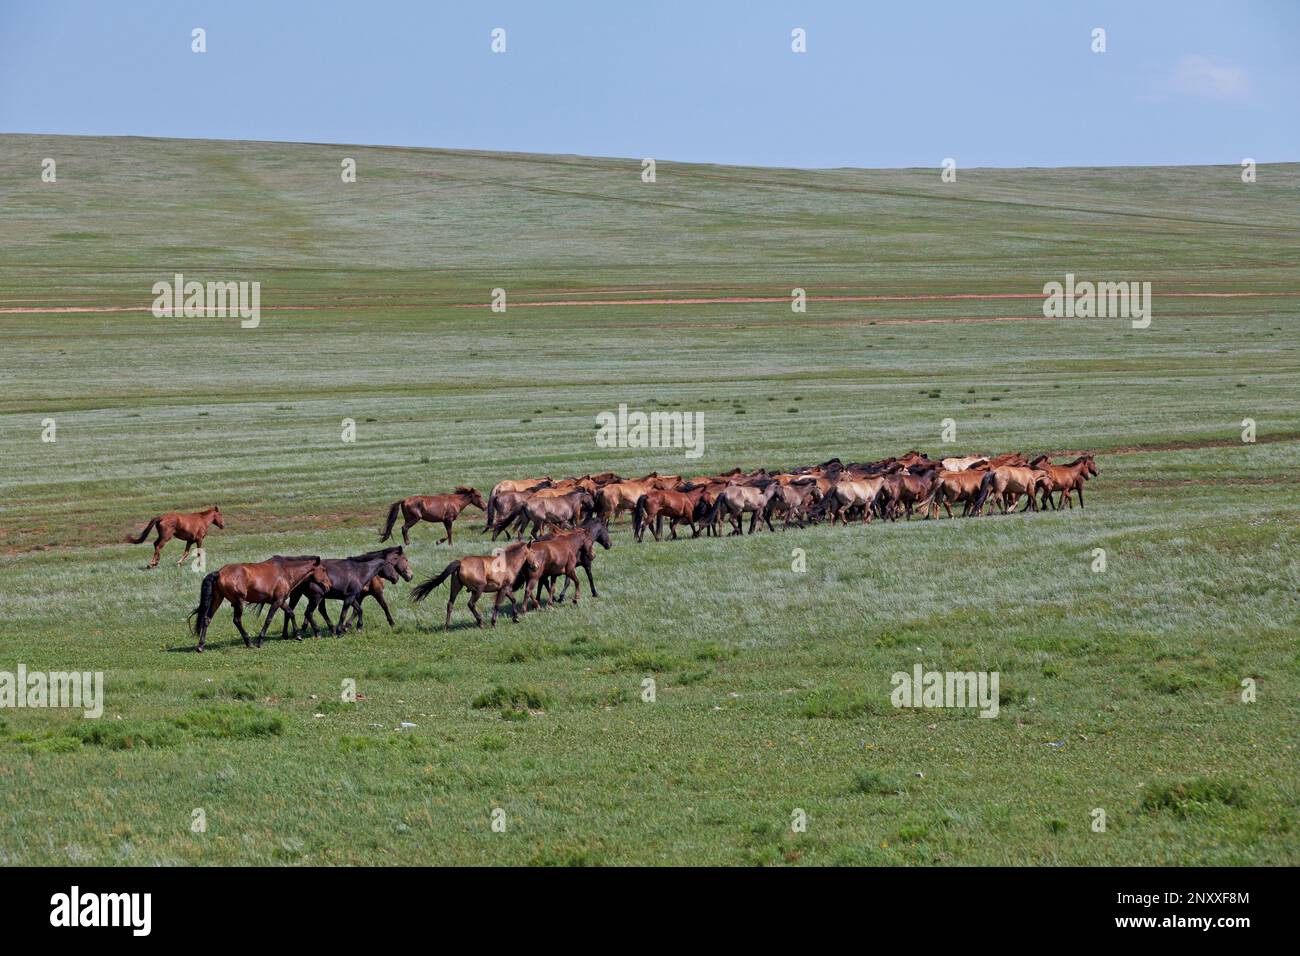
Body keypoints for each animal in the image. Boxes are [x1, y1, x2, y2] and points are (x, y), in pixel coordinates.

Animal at [188, 557, 329, 652]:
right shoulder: (277, 601)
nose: (328, 586)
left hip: (218, 599)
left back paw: (200, 646)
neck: (286, 572)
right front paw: (260, 641)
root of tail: (219, 572)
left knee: (207, 619)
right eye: (323, 569)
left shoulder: (281, 601)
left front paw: (298, 635)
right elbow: (268, 619)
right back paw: (249, 642)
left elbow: (291, 613)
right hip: (238, 602)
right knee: (237, 620)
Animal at [409, 542, 539, 629]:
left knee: (450, 604)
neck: (508, 563)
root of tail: (460, 563)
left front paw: (515, 618)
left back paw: (447, 626)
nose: (536, 566)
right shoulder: (503, 589)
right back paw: (480, 622)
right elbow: (497, 605)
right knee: (471, 604)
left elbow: (513, 599)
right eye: (533, 552)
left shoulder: (504, 589)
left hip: (456, 587)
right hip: (478, 589)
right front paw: (494, 623)